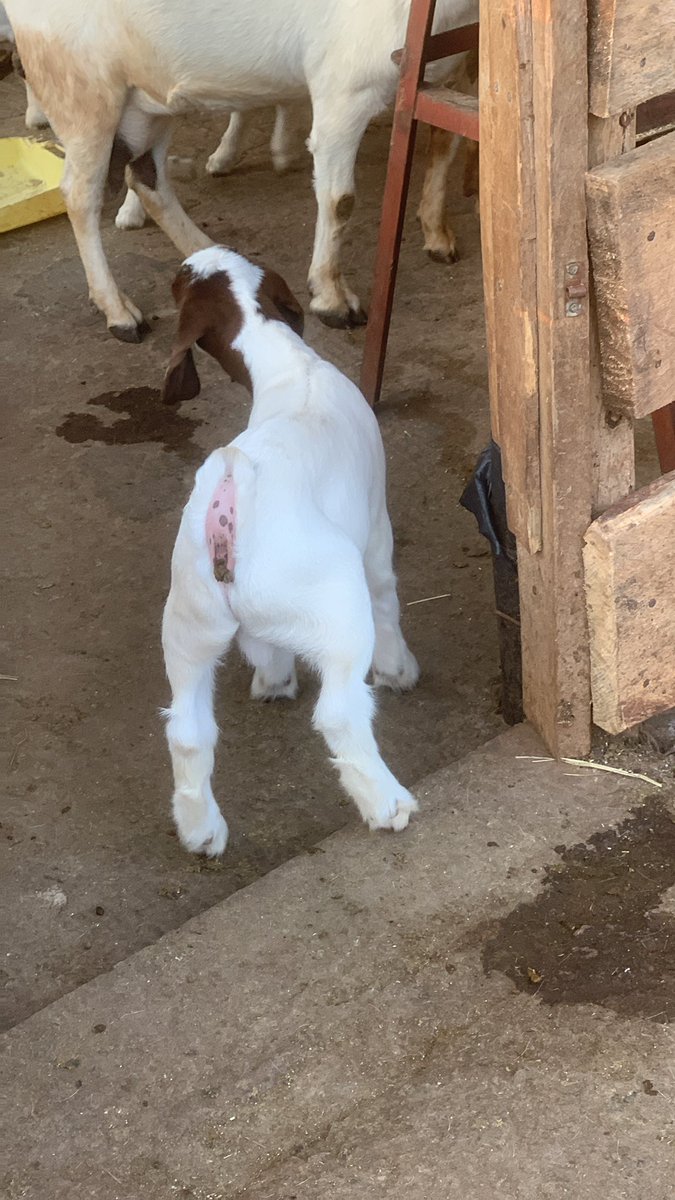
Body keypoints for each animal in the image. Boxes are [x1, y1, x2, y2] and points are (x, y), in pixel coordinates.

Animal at [5, 0, 478, 341]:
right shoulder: (345, 94)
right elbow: (340, 201)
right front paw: (333, 301)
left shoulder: (452, 77)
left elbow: (444, 146)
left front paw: (438, 236)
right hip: (82, 91)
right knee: (81, 195)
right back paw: (120, 313)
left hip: (145, 100)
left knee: (147, 178)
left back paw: (212, 253)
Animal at [160, 246, 419, 855]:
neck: (287, 366)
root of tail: (230, 499)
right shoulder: (375, 523)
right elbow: (387, 594)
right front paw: (399, 671)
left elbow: (262, 645)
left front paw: (274, 681)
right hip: (338, 609)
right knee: (340, 712)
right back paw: (387, 804)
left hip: (187, 624)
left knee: (187, 729)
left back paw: (201, 830)